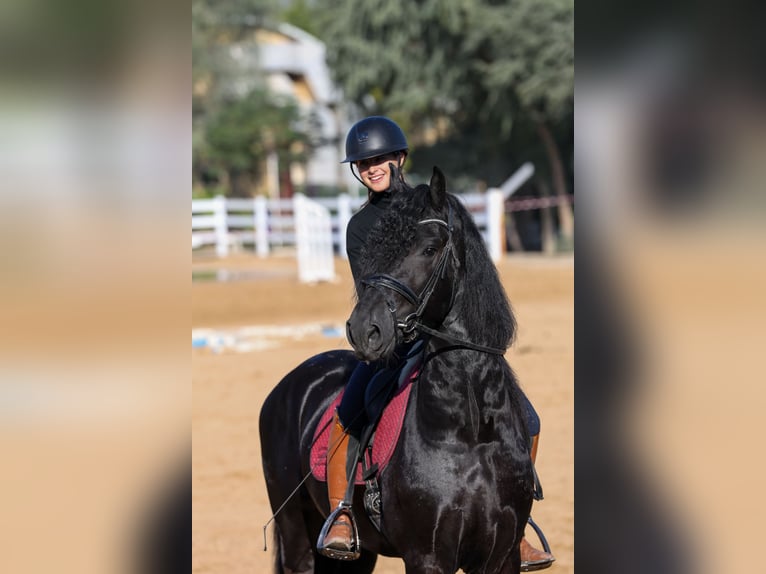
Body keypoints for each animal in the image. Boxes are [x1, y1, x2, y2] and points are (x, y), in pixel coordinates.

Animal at [259, 166, 535, 573]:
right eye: (373, 252)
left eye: (430, 249)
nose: (364, 330)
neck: (472, 429)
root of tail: (288, 384)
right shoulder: (428, 557)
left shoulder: (502, 557)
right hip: (295, 530)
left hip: (356, 557)